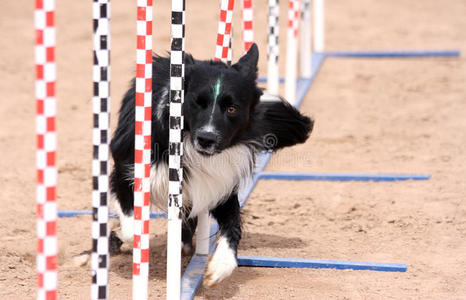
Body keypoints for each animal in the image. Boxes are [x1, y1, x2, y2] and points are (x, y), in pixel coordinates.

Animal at [109, 44, 314, 286]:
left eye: (232, 109)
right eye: (197, 103)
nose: (206, 139)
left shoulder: (220, 184)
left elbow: (233, 224)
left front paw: (219, 267)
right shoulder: (126, 172)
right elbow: (131, 227)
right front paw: (119, 236)